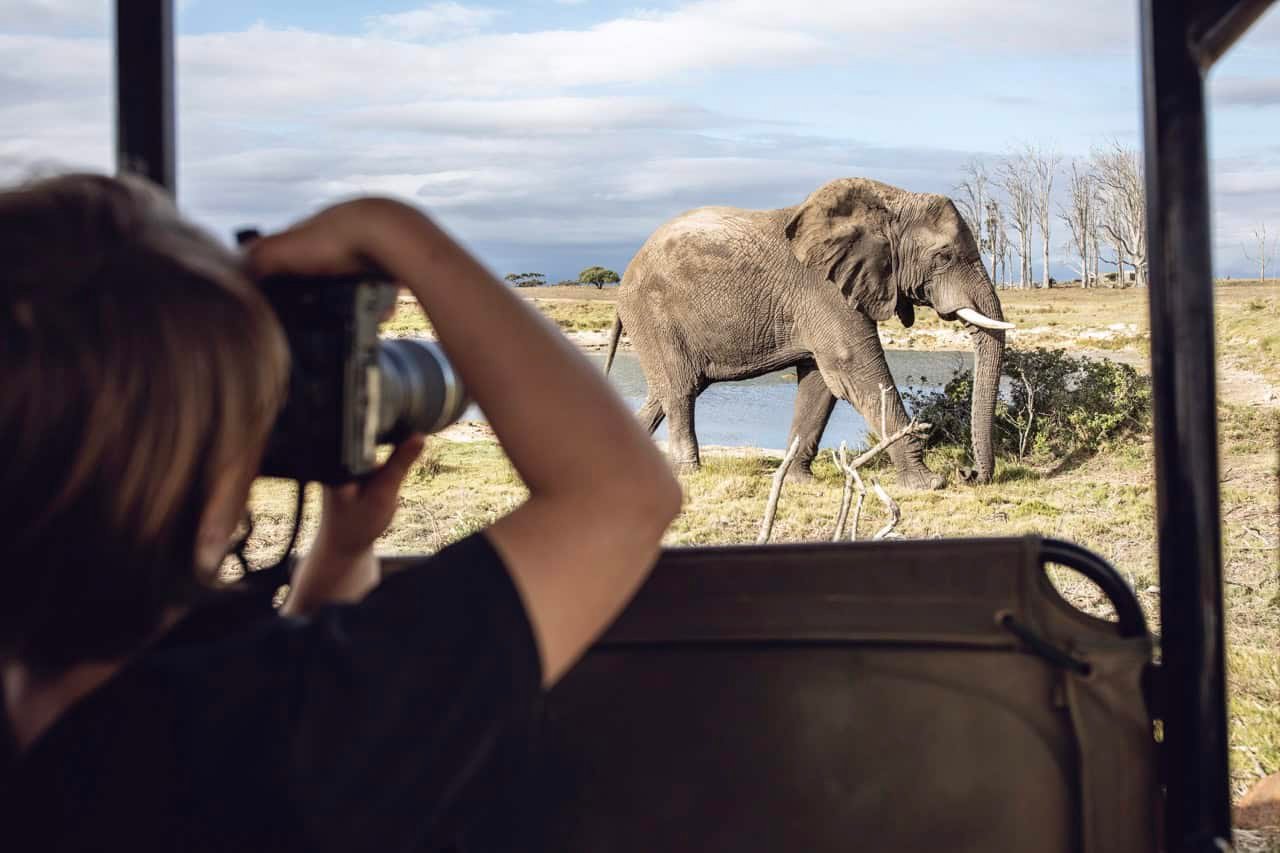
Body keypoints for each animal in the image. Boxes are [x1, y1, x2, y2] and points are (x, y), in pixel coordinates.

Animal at [603, 177, 1012, 488]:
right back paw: (689, 471)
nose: (967, 474)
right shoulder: (823, 290)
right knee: (681, 390)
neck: (888, 202)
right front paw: (928, 484)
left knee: (666, 392)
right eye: (944, 256)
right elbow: (853, 368)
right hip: (654, 314)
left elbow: (820, 383)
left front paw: (799, 481)